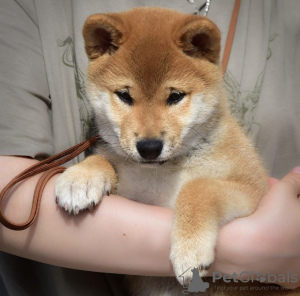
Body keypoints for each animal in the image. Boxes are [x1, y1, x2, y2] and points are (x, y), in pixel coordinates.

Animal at [54, 6, 276, 296]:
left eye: (175, 96)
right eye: (124, 95)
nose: (149, 147)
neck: (162, 173)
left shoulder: (252, 188)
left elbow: (199, 187)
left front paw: (190, 250)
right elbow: (103, 158)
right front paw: (80, 178)